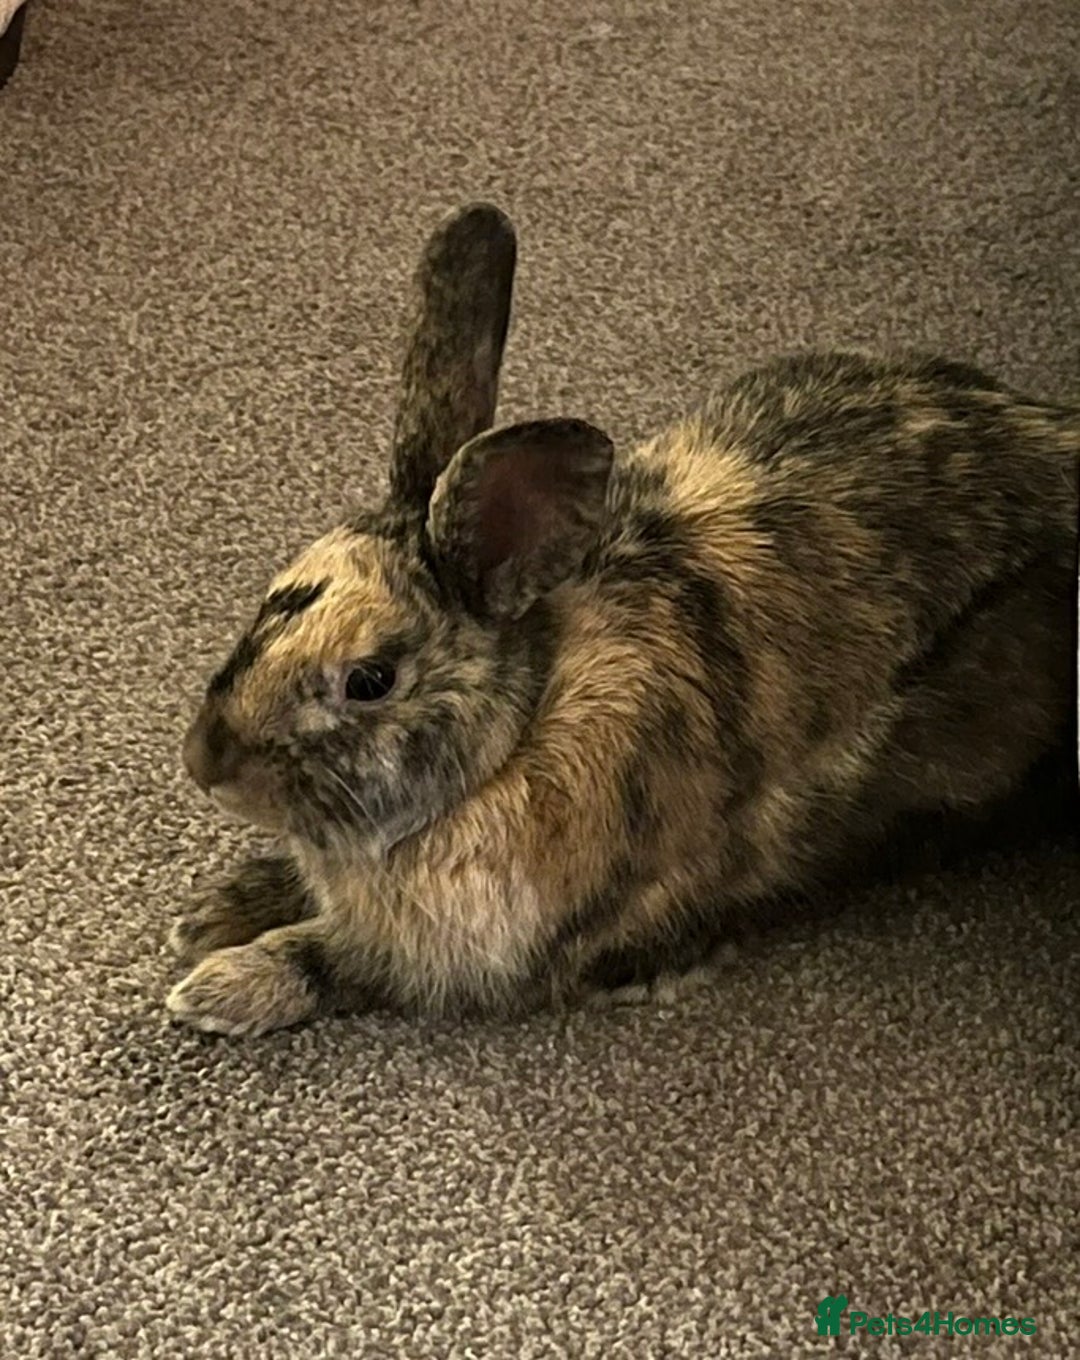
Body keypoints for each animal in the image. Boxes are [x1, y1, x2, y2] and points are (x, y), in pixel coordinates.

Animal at [166, 202, 1079, 1037]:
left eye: (370, 680)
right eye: (271, 596)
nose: (204, 760)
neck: (519, 734)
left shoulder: (461, 955)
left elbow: (336, 961)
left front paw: (217, 989)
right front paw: (212, 910)